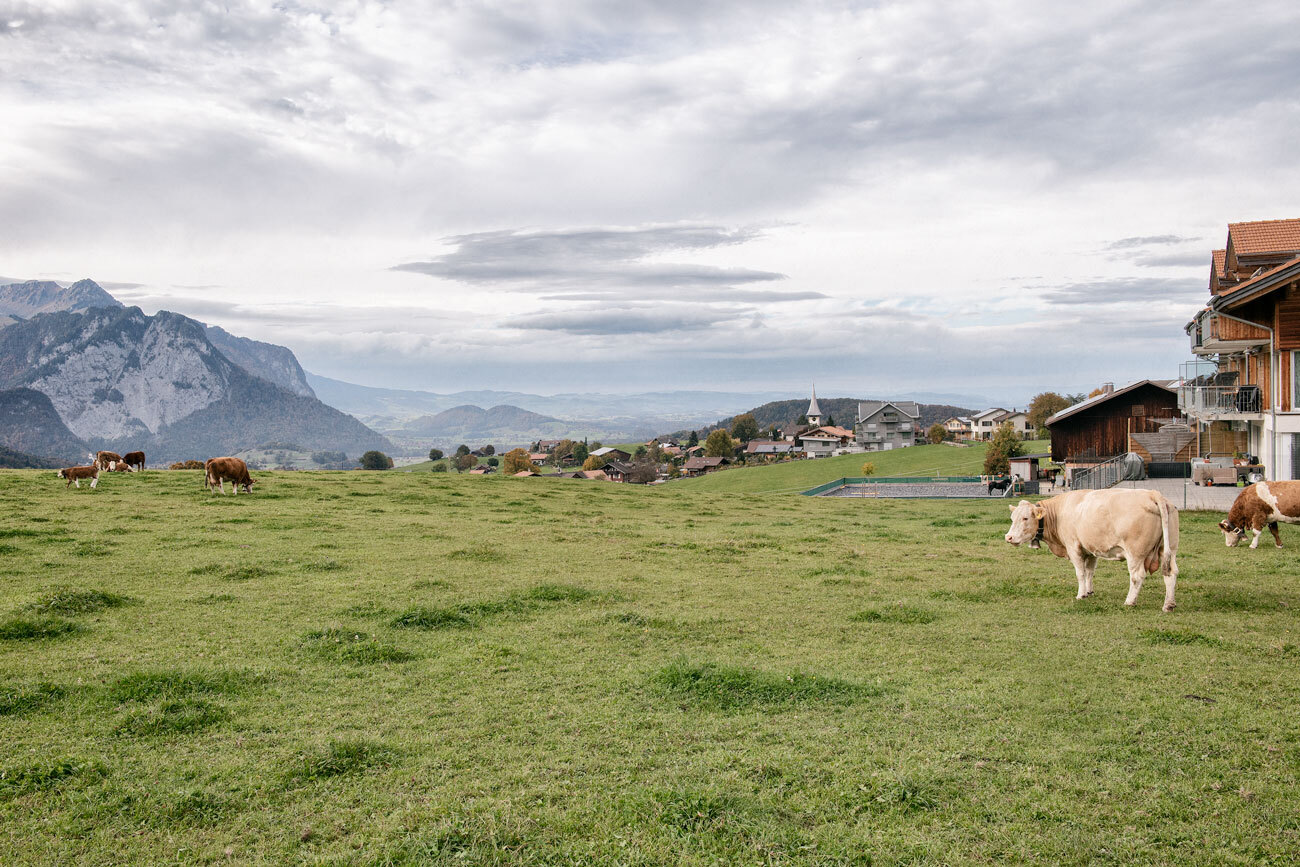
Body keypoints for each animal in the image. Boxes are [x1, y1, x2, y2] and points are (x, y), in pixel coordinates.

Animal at [1003, 488, 1180, 616]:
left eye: (1025, 518)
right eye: (1012, 518)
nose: (1008, 537)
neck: (1059, 513)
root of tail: (1152, 494)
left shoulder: (1074, 547)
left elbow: (1080, 573)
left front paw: (1081, 595)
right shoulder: (1090, 550)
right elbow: (1089, 572)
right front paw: (1089, 592)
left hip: (1135, 554)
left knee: (1137, 576)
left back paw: (1130, 601)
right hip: (1169, 550)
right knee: (1170, 574)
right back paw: (1169, 604)